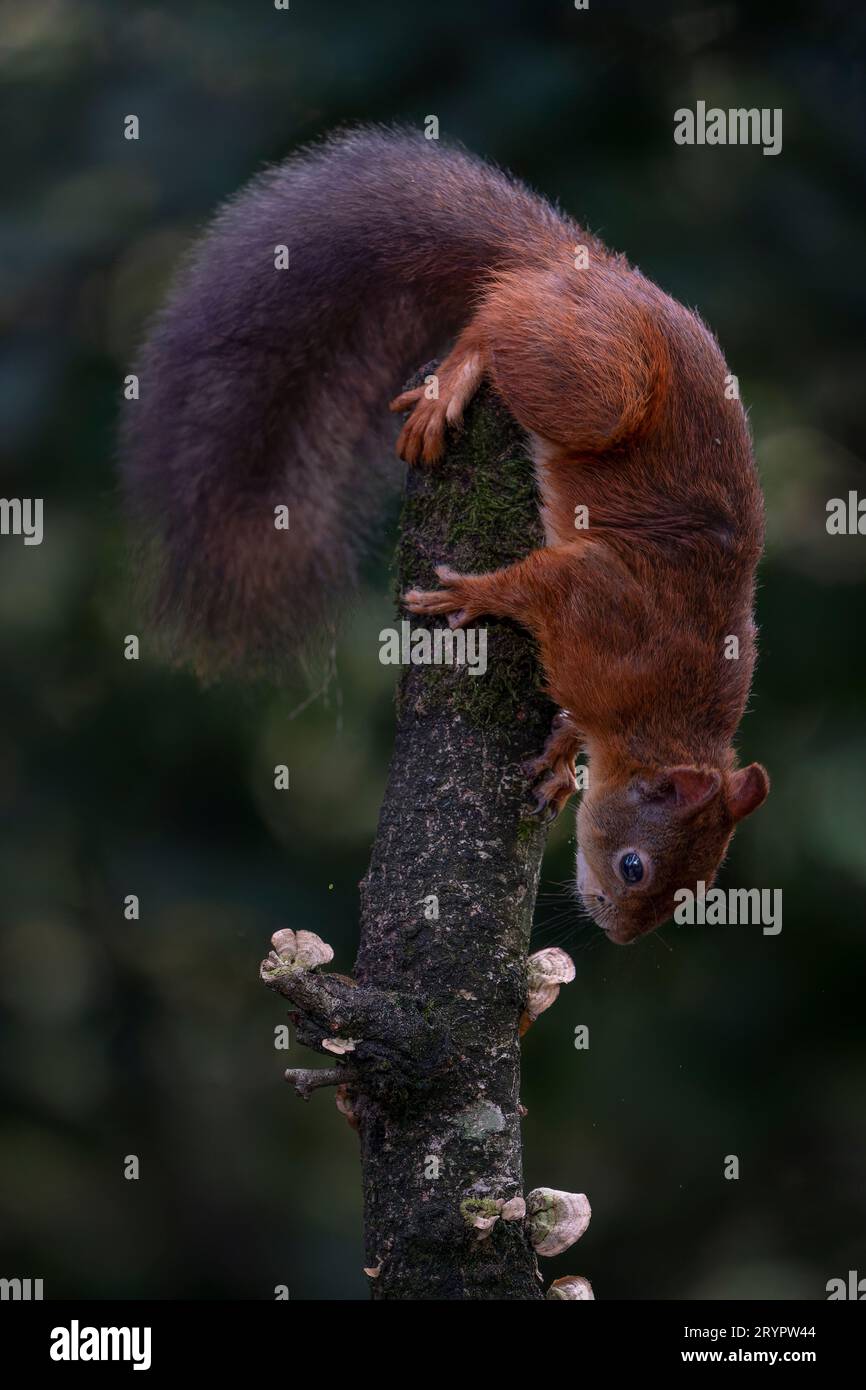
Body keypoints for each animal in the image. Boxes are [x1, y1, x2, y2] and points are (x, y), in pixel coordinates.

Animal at [122, 125, 772, 945]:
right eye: (635, 867)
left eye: (701, 888)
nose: (618, 935)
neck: (655, 717)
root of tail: (587, 266)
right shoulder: (599, 598)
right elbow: (533, 583)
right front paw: (470, 597)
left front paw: (559, 758)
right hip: (599, 385)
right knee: (498, 315)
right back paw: (458, 374)